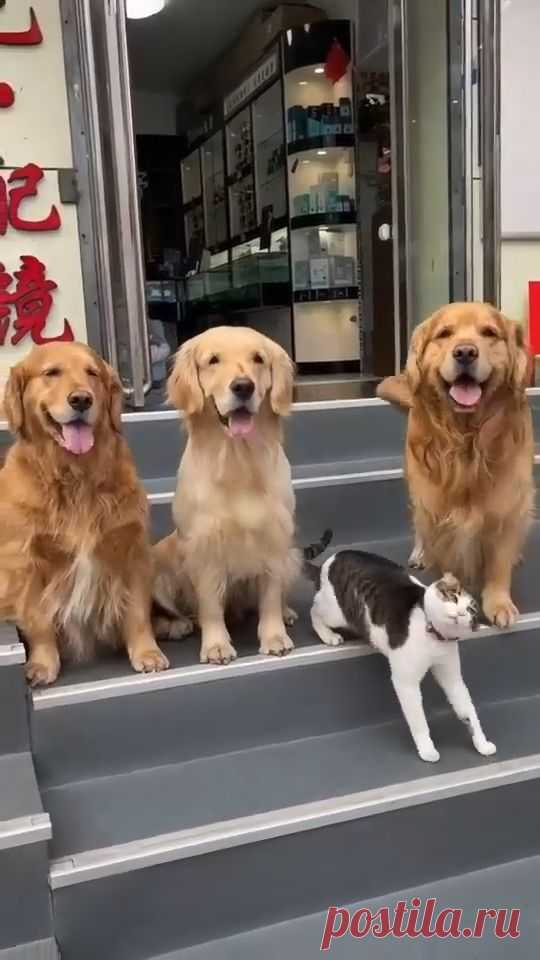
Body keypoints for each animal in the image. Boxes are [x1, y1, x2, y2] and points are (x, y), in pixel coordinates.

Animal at [0, 342, 169, 688]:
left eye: (92, 373)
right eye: (51, 372)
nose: (81, 399)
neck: (75, 475)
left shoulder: (133, 549)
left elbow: (137, 611)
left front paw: (147, 652)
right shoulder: (28, 562)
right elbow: (38, 619)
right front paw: (43, 664)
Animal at [153, 326, 300, 664]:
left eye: (258, 358)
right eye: (213, 360)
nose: (243, 386)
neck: (238, 459)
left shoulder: (275, 539)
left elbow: (270, 596)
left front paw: (274, 636)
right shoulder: (204, 546)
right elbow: (209, 605)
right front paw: (216, 644)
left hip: (293, 556)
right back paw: (179, 625)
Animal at [306, 540, 496, 764]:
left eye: (471, 612)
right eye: (453, 597)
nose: (459, 613)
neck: (434, 635)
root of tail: (329, 561)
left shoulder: (452, 677)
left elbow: (467, 710)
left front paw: (482, 743)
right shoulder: (405, 682)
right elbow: (419, 720)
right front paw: (427, 749)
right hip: (335, 612)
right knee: (314, 610)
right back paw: (327, 635)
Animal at [378, 302, 532, 632]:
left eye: (489, 333)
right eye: (444, 334)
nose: (465, 352)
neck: (467, 441)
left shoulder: (507, 501)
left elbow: (499, 561)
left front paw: (499, 603)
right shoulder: (437, 507)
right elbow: (447, 559)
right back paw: (421, 553)